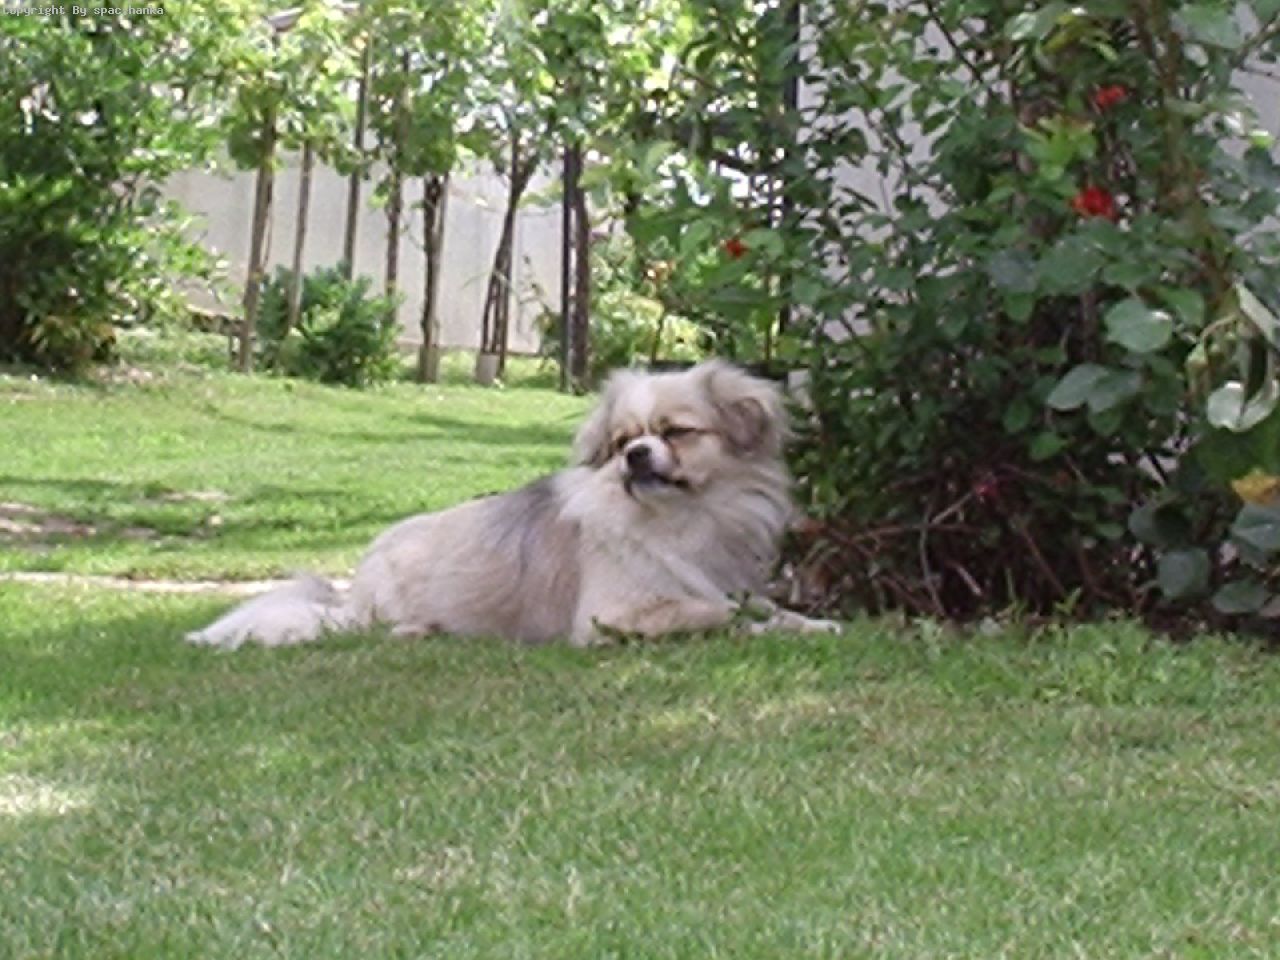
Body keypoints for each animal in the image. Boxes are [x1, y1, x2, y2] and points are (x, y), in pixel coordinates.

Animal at [186, 360, 839, 649]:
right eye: (624, 442)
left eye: (676, 433)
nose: (635, 457)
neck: (685, 518)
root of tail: (354, 592)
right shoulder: (613, 616)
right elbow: (710, 614)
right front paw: (758, 630)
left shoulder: (726, 580)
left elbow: (763, 607)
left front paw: (814, 623)